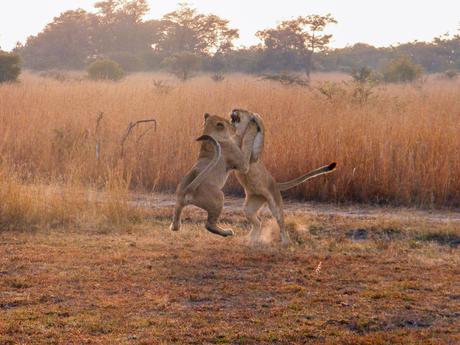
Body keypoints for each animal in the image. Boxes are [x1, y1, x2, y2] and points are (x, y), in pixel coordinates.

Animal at [232, 109, 336, 243]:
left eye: (242, 110)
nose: (233, 109)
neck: (240, 135)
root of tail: (276, 184)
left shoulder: (254, 157)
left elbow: (259, 135)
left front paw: (255, 120)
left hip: (275, 205)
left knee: (282, 226)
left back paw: (285, 242)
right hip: (252, 204)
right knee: (258, 222)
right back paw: (250, 240)